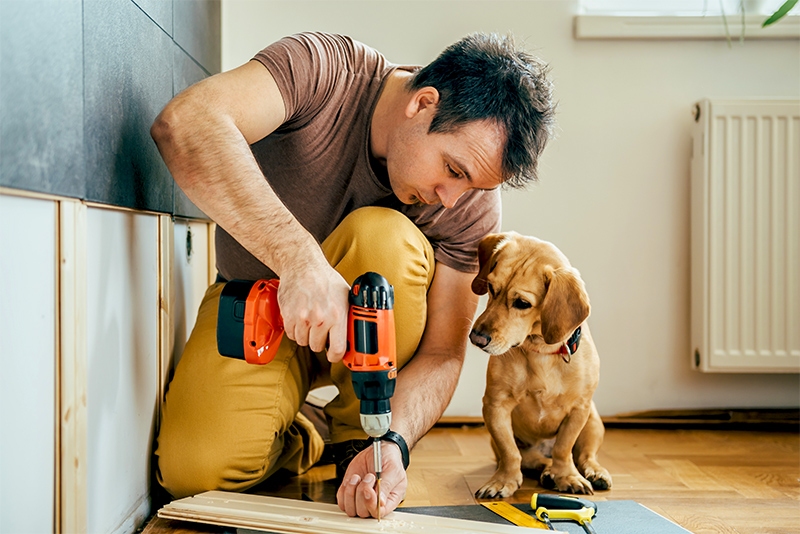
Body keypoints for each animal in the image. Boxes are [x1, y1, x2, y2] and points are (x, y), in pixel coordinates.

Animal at [472, 232, 608, 500]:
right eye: (491, 288)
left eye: (522, 303)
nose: (476, 338)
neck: (541, 352)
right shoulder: (495, 406)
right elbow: (510, 453)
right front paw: (503, 481)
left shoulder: (579, 409)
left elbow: (563, 448)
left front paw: (567, 476)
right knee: (534, 459)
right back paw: (547, 471)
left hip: (593, 422)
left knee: (585, 455)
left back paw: (593, 472)